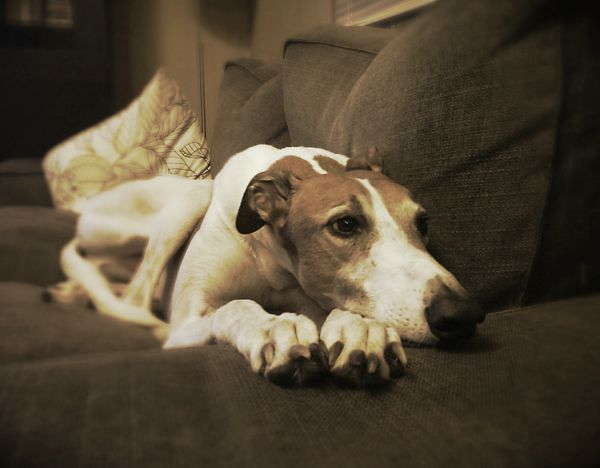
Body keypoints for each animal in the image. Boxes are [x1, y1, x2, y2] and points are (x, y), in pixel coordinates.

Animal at [48, 144, 488, 386]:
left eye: (423, 222)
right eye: (345, 224)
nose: (463, 315)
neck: (272, 260)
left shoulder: (309, 295)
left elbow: (332, 311)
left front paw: (360, 330)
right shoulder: (186, 323)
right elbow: (234, 307)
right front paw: (273, 327)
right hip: (191, 198)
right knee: (136, 298)